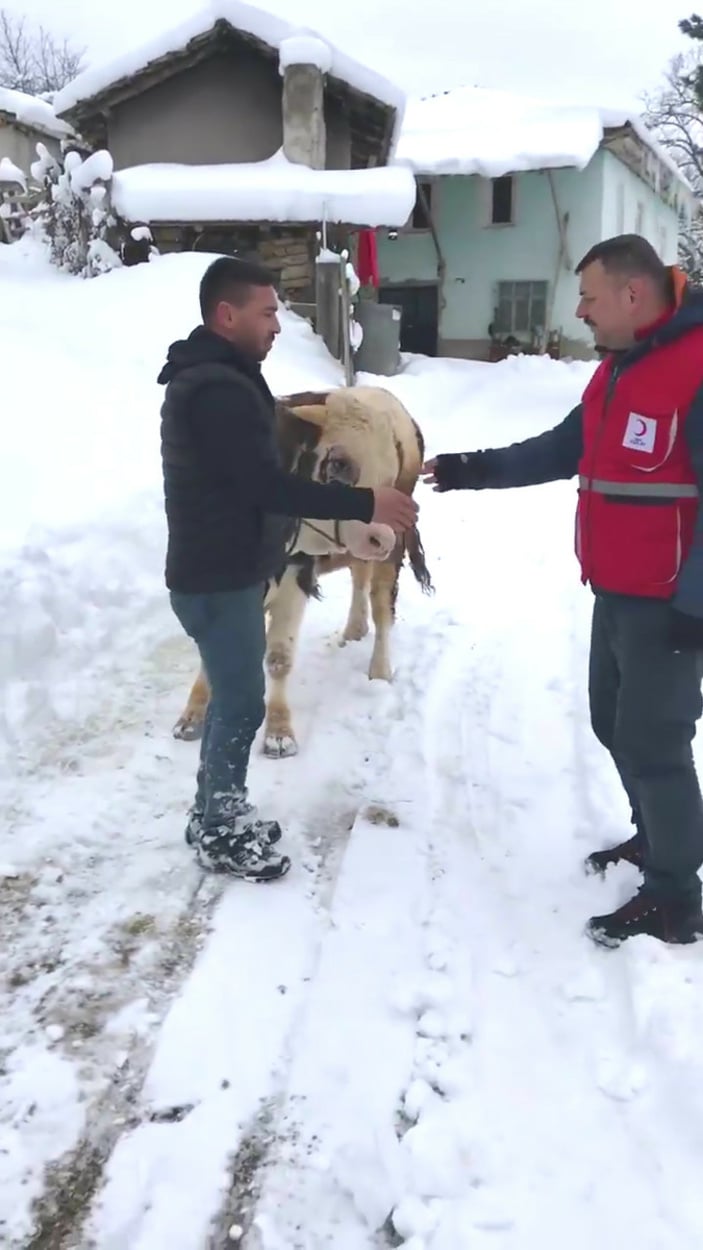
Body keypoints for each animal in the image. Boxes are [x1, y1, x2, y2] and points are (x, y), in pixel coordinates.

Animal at [171, 380, 430, 755]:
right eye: (338, 462)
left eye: (387, 475)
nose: (382, 537)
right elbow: (211, 658)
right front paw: (192, 715)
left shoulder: (296, 581)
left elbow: (279, 659)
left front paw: (279, 734)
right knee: (359, 578)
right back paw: (354, 629)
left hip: (388, 559)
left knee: (382, 606)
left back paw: (379, 672)